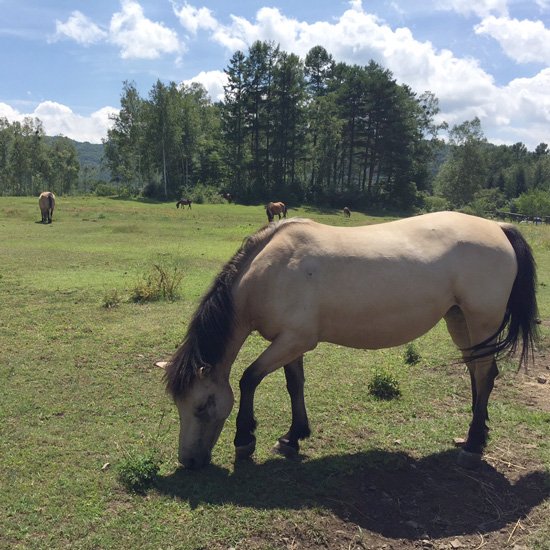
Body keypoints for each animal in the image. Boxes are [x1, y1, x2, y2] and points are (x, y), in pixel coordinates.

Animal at [164, 213, 540, 472]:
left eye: (201, 406)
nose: (188, 461)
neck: (270, 271)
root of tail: (498, 226)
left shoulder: (295, 340)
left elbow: (249, 379)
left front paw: (245, 440)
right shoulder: (290, 342)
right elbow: (294, 384)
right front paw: (293, 437)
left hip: (481, 320)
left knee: (485, 374)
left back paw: (473, 445)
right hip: (460, 320)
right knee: (477, 373)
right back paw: (475, 434)